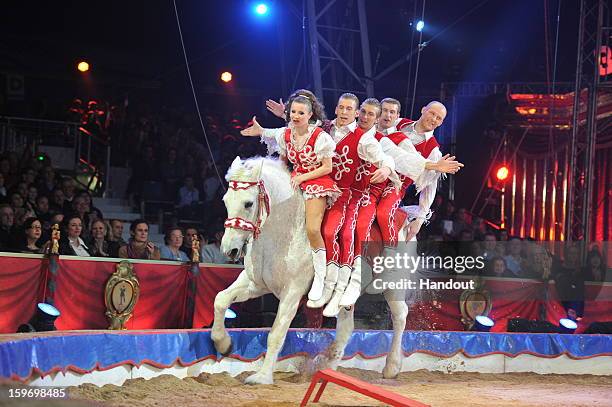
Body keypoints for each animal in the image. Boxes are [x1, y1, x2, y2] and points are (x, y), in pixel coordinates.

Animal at [213, 156, 408, 386]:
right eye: (225, 201)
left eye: (248, 203)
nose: (230, 249)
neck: (287, 231)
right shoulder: (254, 284)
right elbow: (220, 299)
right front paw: (223, 344)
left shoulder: (292, 292)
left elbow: (276, 333)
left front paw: (262, 377)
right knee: (346, 328)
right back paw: (328, 367)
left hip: (393, 286)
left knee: (400, 315)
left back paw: (392, 367)